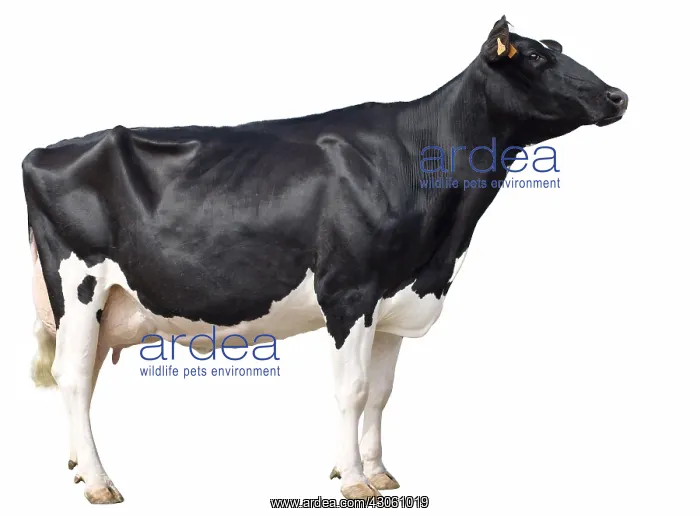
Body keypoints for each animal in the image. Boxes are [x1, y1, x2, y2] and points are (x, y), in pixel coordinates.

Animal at [23, 15, 627, 504]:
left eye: (555, 49)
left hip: (104, 305)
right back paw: (100, 483)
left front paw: (380, 472)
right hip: (79, 285)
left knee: (85, 377)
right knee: (72, 376)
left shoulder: (392, 298)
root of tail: (45, 150)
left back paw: (80, 466)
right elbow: (353, 390)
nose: (619, 96)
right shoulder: (349, 292)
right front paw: (354, 479)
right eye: (535, 57)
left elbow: (381, 394)